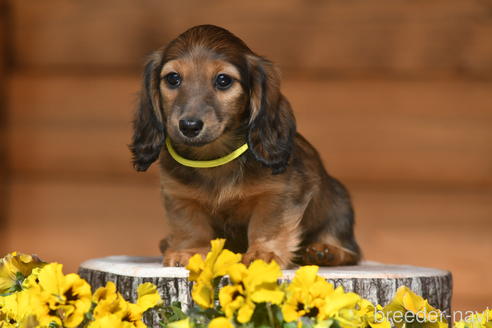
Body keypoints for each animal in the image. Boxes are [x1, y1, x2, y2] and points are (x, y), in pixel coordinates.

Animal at [130, 25, 362, 270]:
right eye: (173, 78)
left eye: (223, 80)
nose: (189, 126)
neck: (215, 158)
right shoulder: (179, 196)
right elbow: (190, 226)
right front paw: (190, 252)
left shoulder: (279, 192)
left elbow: (267, 224)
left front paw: (264, 253)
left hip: (338, 205)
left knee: (350, 250)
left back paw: (325, 251)